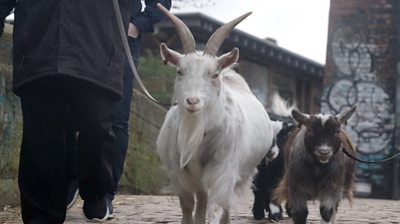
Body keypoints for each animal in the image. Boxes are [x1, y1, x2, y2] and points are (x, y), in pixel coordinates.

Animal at [156, 3, 276, 224]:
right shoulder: (179, 174)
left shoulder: (222, 171)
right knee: (201, 202)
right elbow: (187, 207)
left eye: (214, 74)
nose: (192, 101)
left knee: (222, 205)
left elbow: (215, 208)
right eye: (179, 71)